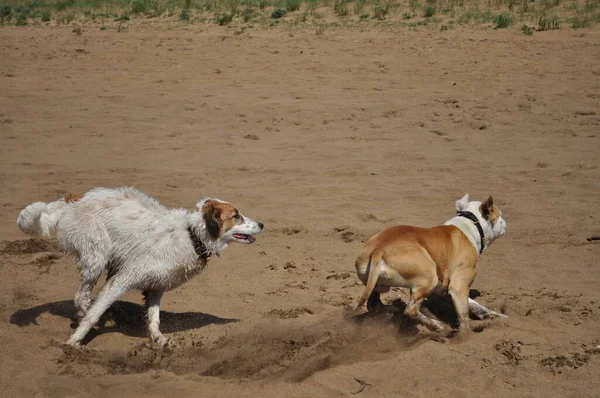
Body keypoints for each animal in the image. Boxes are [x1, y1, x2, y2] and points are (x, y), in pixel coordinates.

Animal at [17, 187, 262, 346]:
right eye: (236, 216)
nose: (261, 224)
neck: (192, 236)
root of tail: (73, 199)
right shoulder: (123, 279)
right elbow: (94, 313)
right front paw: (75, 340)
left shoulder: (156, 286)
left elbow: (154, 317)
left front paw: (158, 340)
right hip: (96, 258)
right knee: (81, 298)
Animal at [354, 194, 508, 332]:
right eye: (500, 215)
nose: (506, 223)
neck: (471, 225)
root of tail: (378, 249)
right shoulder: (459, 287)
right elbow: (464, 317)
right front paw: (465, 336)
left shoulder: (446, 289)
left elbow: (476, 305)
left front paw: (497, 316)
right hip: (429, 276)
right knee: (410, 310)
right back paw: (437, 326)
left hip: (378, 284)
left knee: (374, 304)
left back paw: (393, 309)